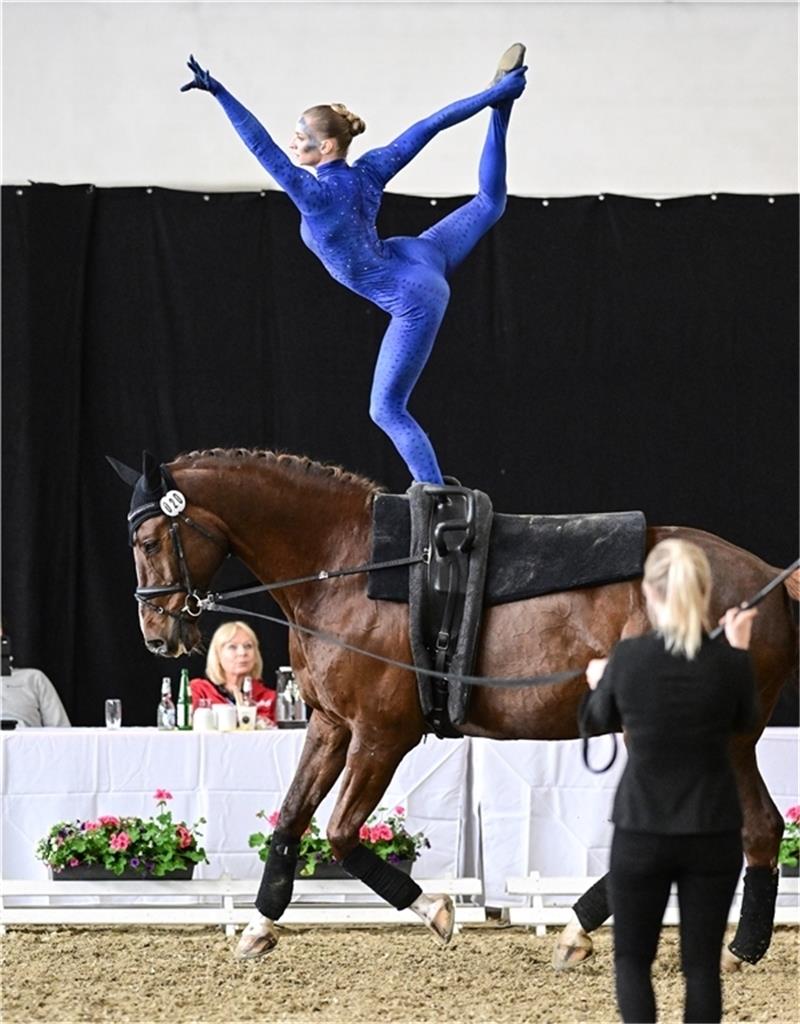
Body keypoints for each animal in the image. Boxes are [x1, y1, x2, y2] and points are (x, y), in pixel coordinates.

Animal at [115, 448, 794, 958]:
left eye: (148, 540)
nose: (156, 635)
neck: (348, 565)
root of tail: (766, 578)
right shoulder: (331, 725)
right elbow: (290, 819)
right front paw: (259, 926)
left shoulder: (381, 736)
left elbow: (339, 833)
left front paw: (436, 909)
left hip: (713, 738)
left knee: (753, 828)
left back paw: (713, 943)